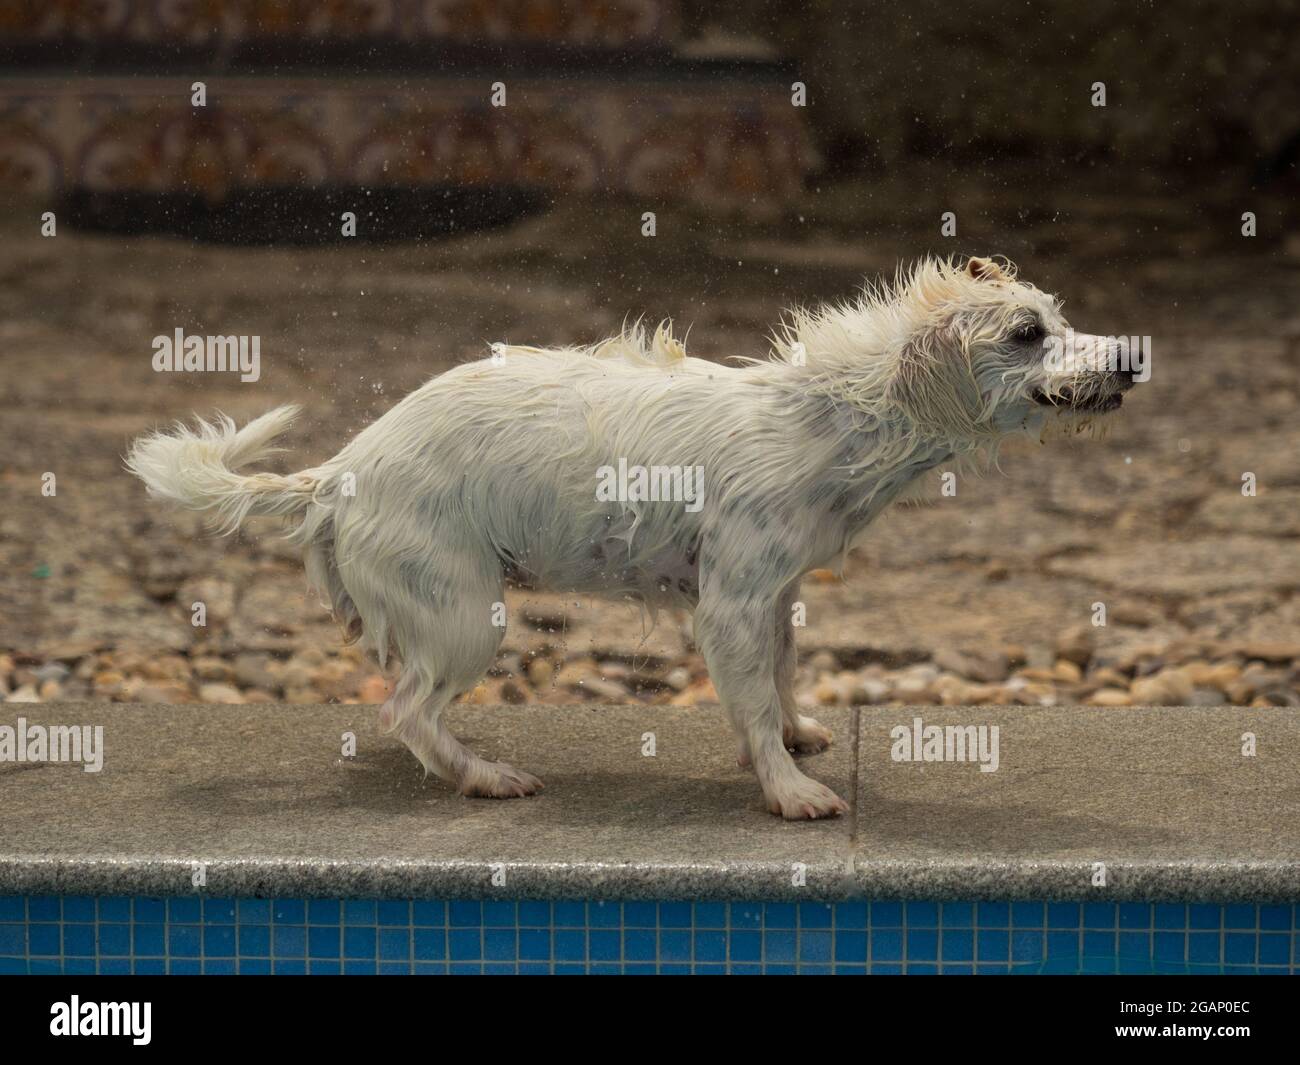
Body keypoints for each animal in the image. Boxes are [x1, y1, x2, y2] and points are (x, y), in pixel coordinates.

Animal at [124, 253, 1138, 821]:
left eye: (1061, 316)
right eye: (1027, 330)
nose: (1132, 355)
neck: (837, 414)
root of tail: (338, 469)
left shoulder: (772, 594)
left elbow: (780, 677)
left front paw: (798, 735)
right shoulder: (729, 604)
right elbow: (751, 702)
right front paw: (785, 791)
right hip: (469, 616)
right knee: (406, 710)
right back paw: (484, 775)